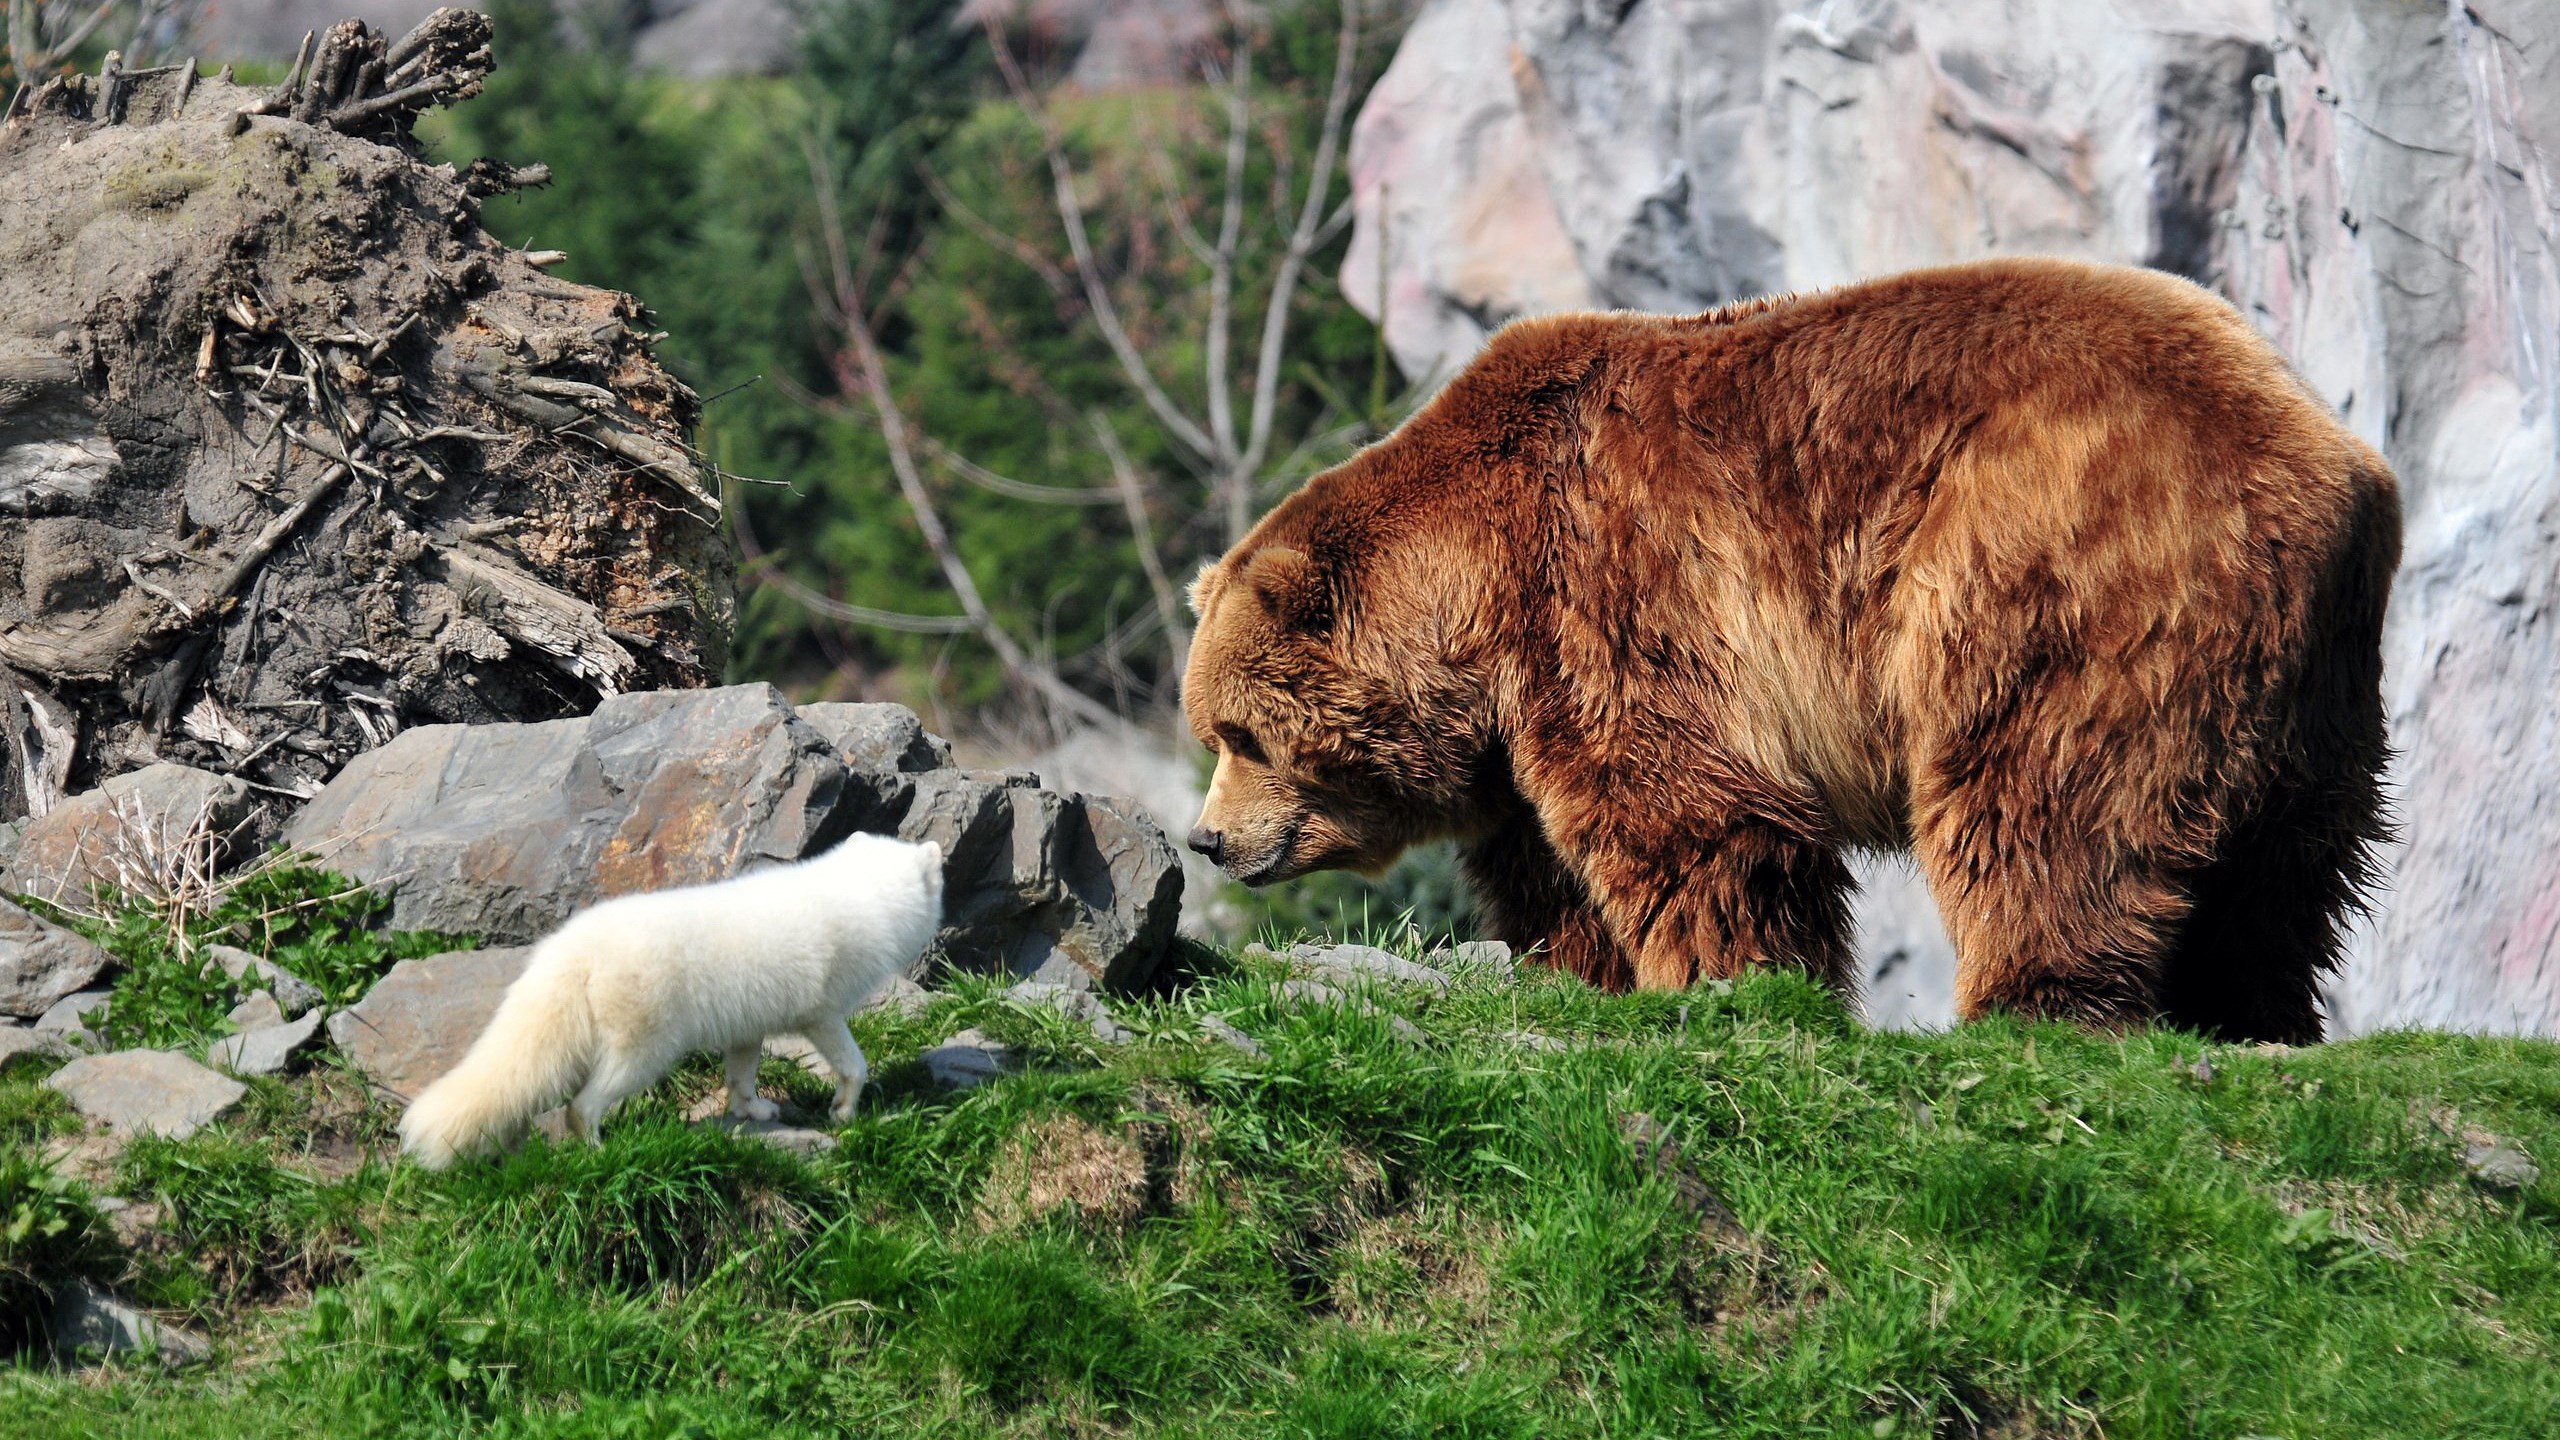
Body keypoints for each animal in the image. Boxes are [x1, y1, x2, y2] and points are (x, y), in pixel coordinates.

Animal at [398, 831, 945, 1169]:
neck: (863, 896)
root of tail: (571, 951)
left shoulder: (747, 1025)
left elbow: (740, 1075)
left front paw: (754, 1112)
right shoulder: (823, 1013)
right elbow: (855, 1064)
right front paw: (844, 1112)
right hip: (647, 1048)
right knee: (583, 1104)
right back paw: (598, 1152)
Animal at [1179, 257, 2399, 1043]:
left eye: (1241, 735)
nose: (1207, 841)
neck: (1473, 593)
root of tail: (2324, 455)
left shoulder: (1609, 587)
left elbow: (1692, 811)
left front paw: (1729, 982)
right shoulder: (1519, 724)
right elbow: (1548, 869)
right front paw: (1582, 973)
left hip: (2052, 559)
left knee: (2040, 795)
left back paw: (2031, 1002)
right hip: (2316, 677)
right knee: (2290, 862)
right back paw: (2252, 1012)